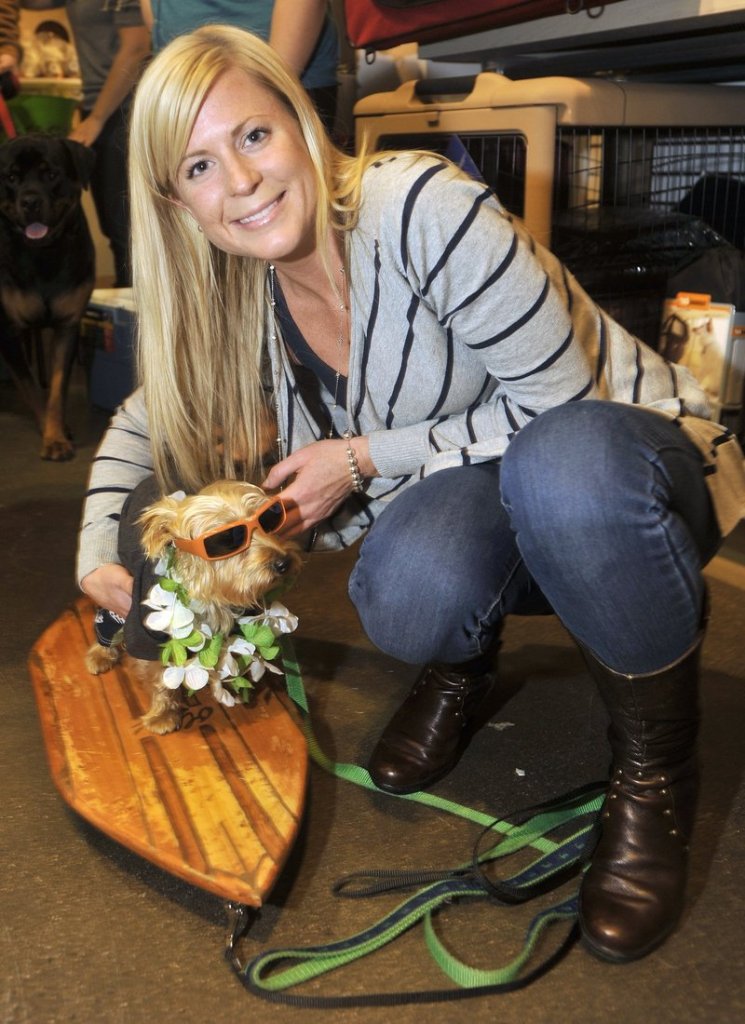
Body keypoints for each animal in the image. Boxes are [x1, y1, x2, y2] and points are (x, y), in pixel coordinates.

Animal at [0, 132, 96, 460]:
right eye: (11, 178)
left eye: (51, 174)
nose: (30, 201)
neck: (42, 256)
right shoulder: (9, 332)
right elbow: (32, 389)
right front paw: (50, 434)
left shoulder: (67, 325)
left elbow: (56, 390)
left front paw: (57, 434)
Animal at [88, 481, 304, 737]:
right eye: (227, 539)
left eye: (269, 520)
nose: (284, 562)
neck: (210, 592)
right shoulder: (145, 630)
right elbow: (159, 675)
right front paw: (163, 714)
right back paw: (101, 652)